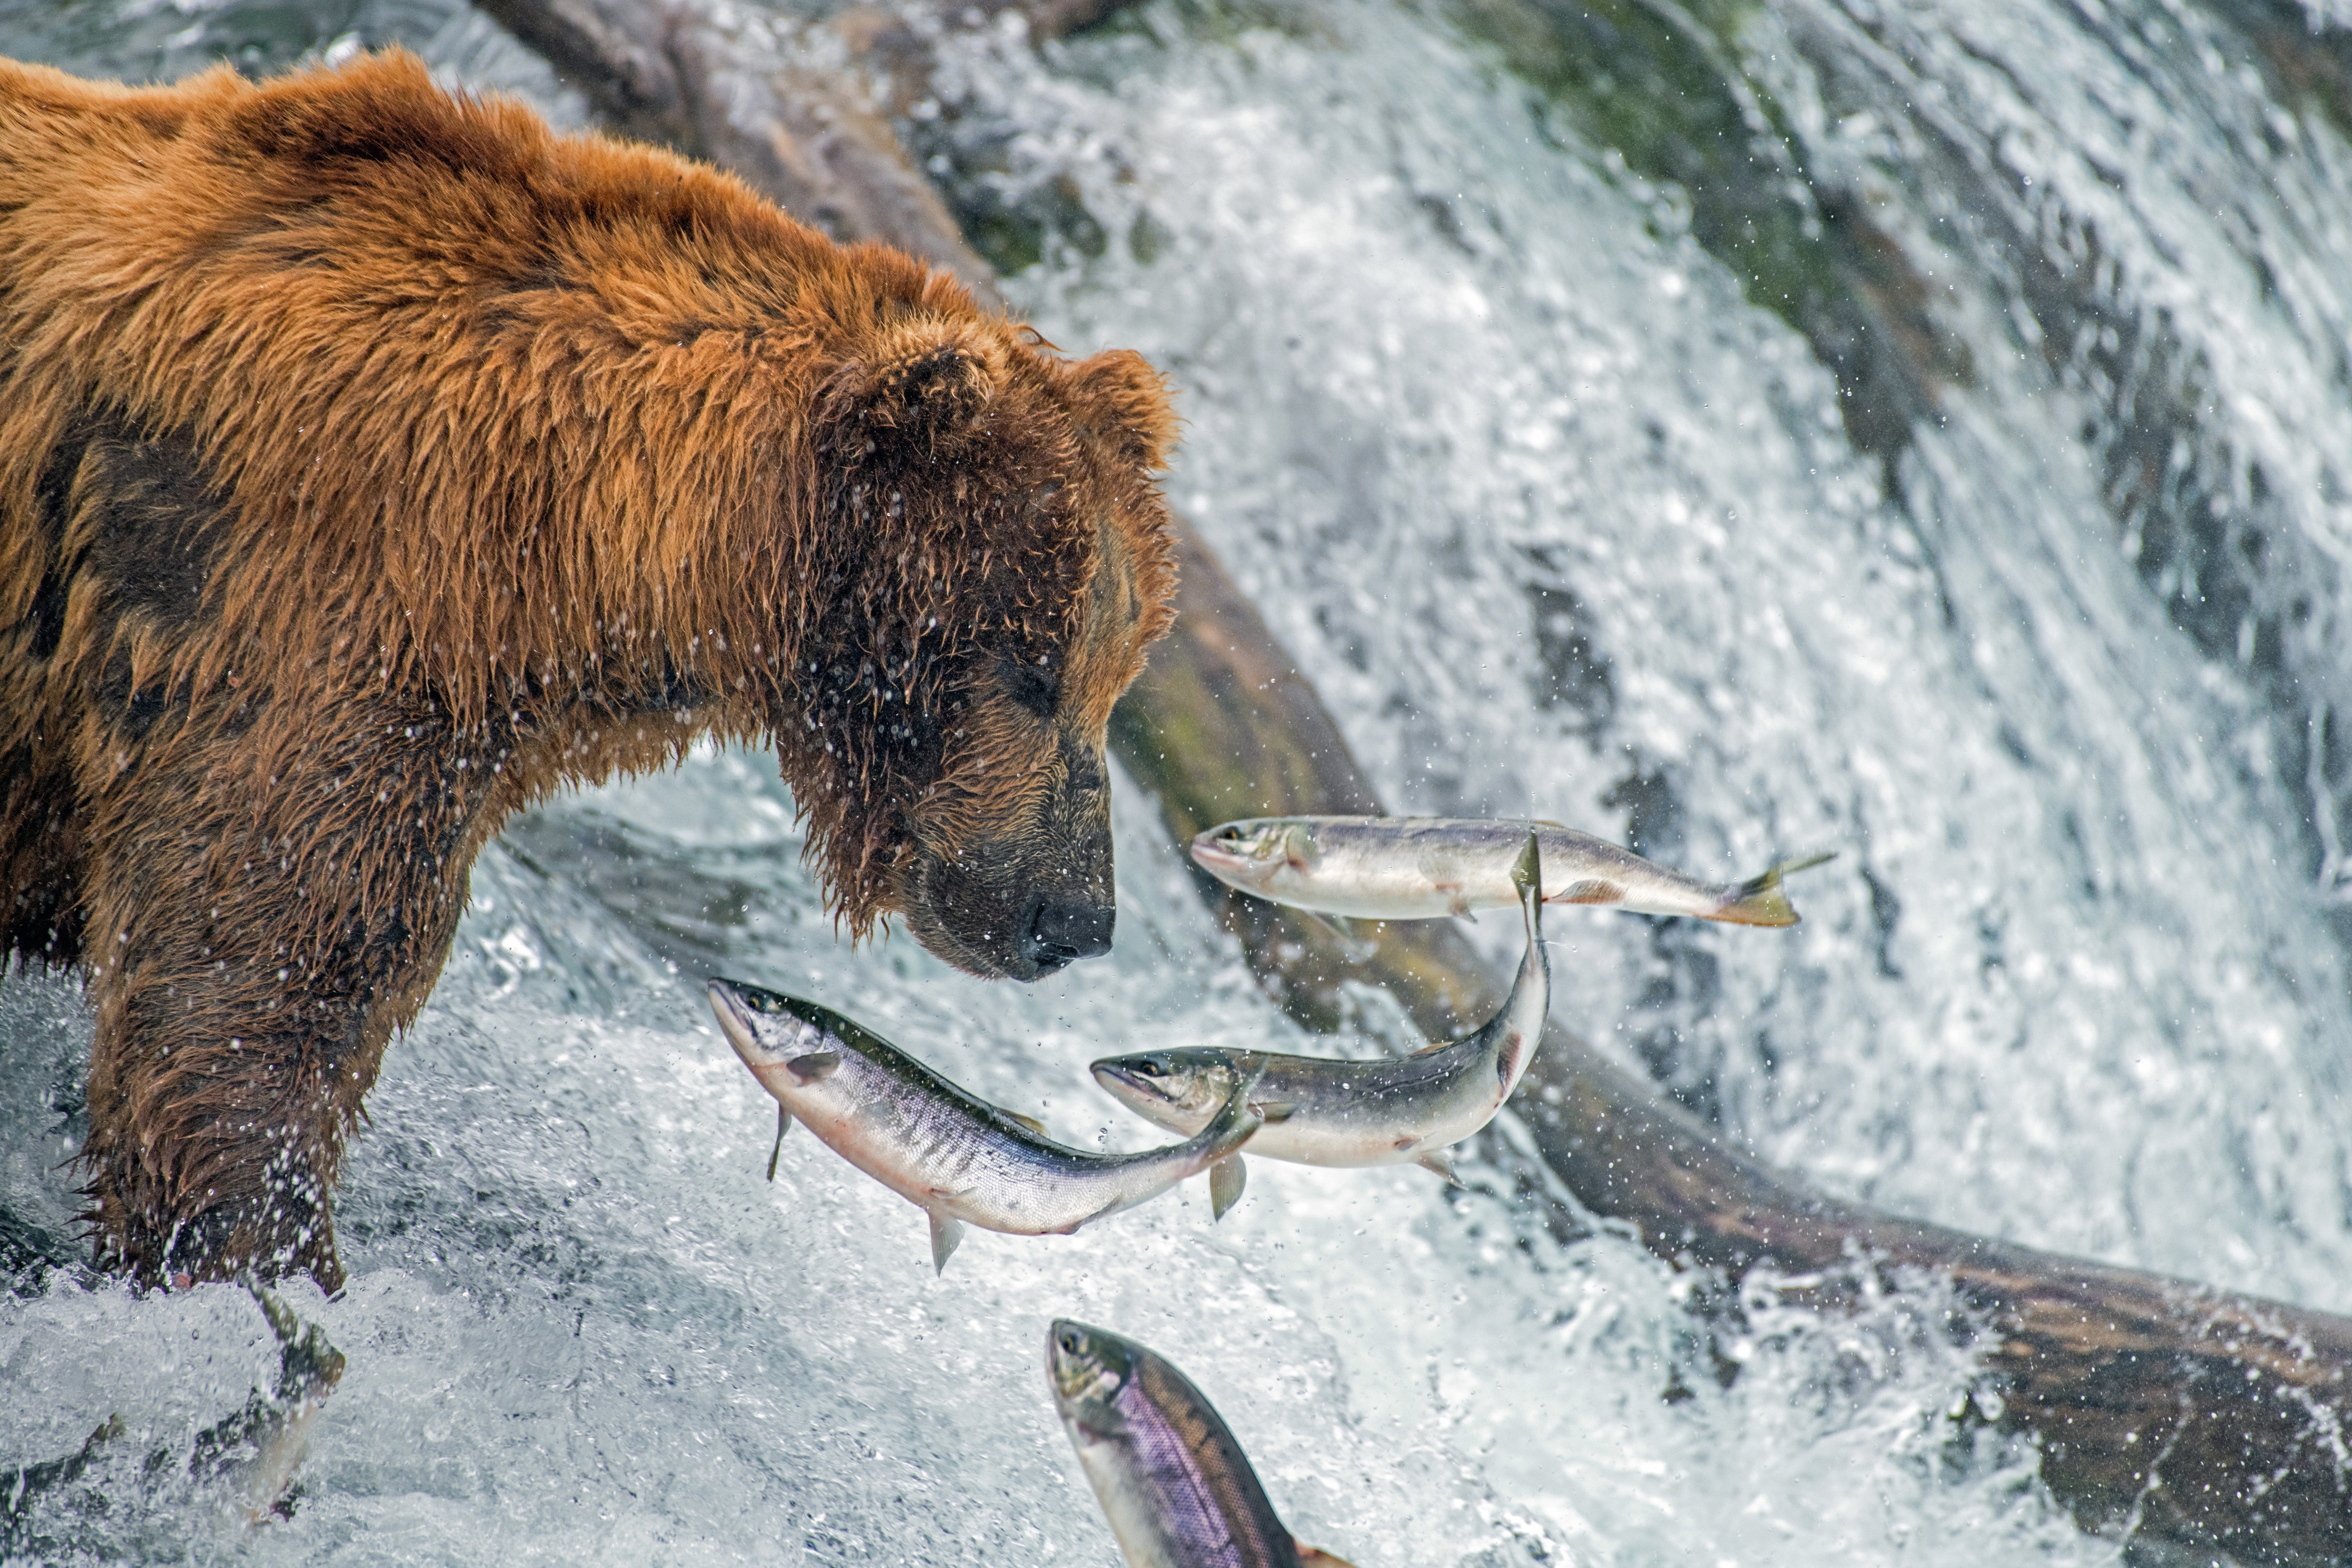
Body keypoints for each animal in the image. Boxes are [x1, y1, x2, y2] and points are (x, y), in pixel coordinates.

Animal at [0, 50, 1179, 1291]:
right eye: (1032, 667)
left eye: (1115, 674)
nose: (1073, 914)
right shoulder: (300, 615)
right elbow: (246, 995)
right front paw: (259, 1258)